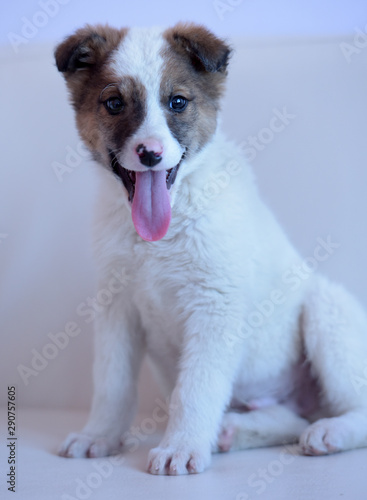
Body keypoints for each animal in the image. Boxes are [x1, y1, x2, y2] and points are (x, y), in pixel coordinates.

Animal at [54, 24, 367, 476]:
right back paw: (234, 431)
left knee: (352, 409)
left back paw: (331, 432)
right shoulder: (118, 308)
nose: (150, 154)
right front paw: (100, 436)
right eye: (114, 104)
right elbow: (112, 384)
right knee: (290, 419)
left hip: (326, 309)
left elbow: (195, 390)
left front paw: (181, 447)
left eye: (177, 102)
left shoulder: (214, 306)